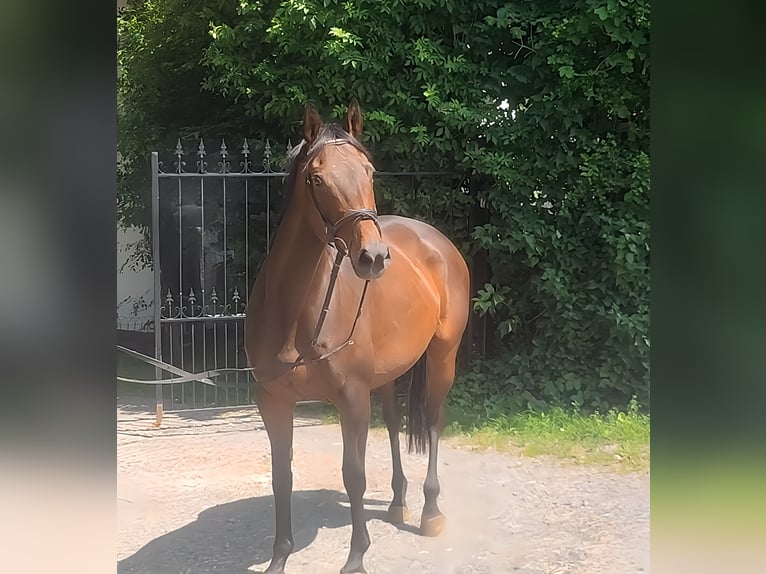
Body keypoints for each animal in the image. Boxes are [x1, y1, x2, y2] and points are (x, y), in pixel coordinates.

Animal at [244, 99, 470, 574]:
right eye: (316, 178)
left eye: (369, 171)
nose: (374, 256)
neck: (296, 317)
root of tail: (435, 240)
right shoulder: (273, 400)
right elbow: (280, 476)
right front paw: (279, 558)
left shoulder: (350, 397)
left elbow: (355, 476)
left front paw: (356, 558)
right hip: (385, 376)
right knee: (394, 424)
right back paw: (399, 502)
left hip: (443, 356)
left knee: (434, 421)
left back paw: (430, 511)